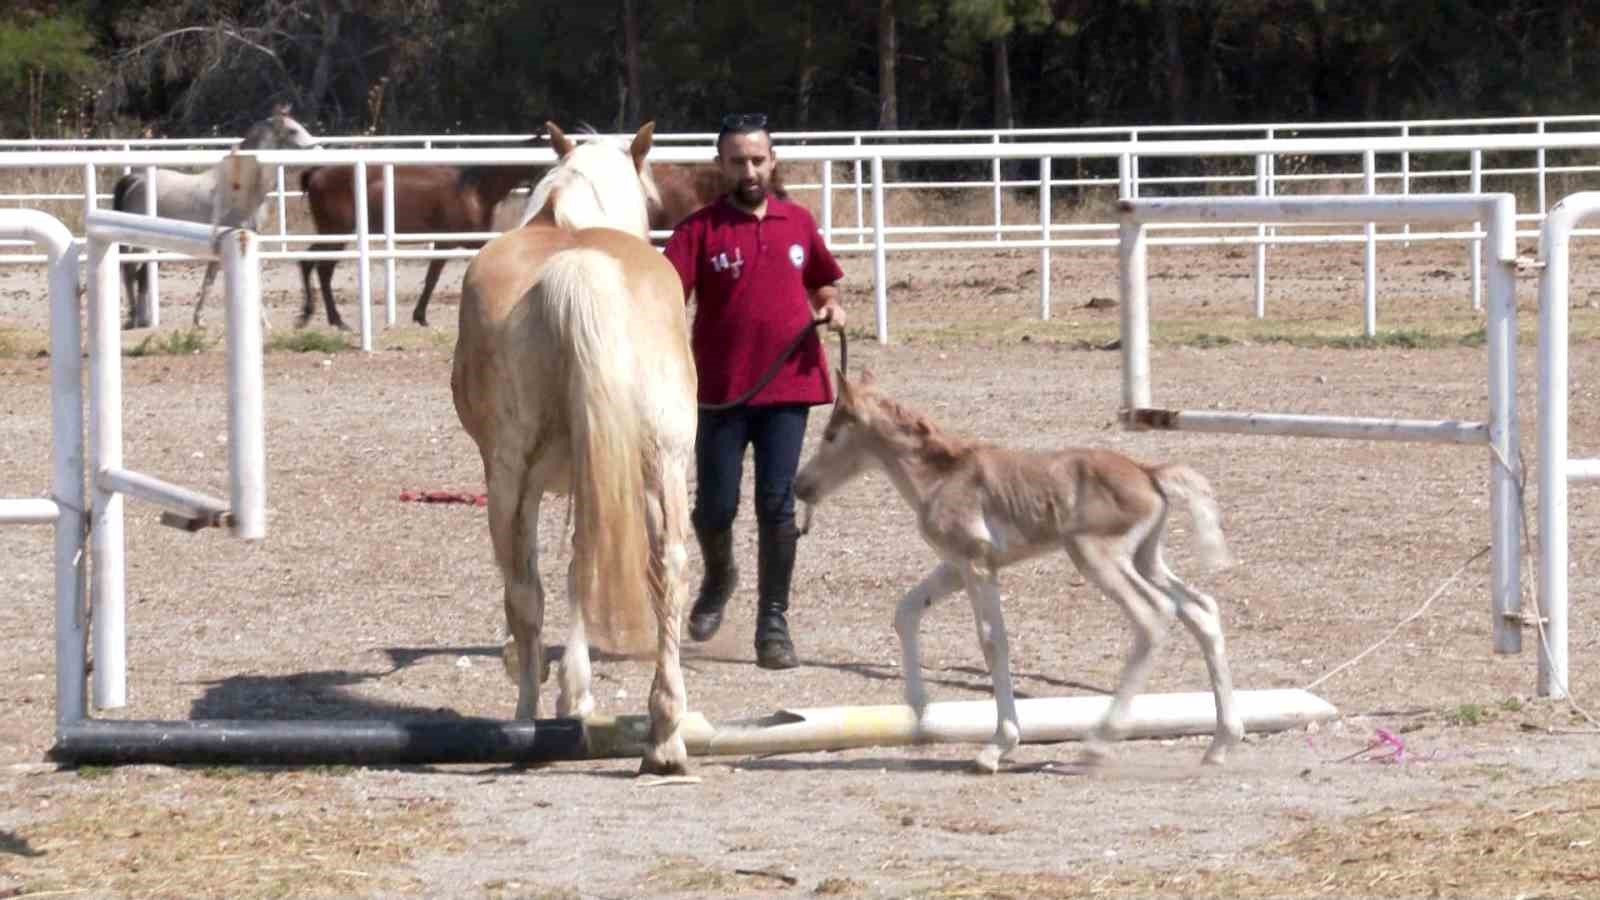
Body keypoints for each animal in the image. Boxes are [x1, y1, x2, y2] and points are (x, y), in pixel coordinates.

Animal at [110, 104, 318, 328]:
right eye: (293, 131)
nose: (319, 151)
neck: (240, 188)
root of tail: (135, 179)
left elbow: (211, 281)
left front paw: (199, 319)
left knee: (140, 275)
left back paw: (142, 319)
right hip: (139, 243)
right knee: (130, 271)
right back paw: (133, 318)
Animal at [299, 132, 544, 329]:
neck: (474, 192)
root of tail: (315, 173)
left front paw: (420, 316)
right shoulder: (450, 242)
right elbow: (432, 279)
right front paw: (420, 316)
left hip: (332, 233)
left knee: (308, 261)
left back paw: (310, 315)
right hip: (335, 233)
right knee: (322, 269)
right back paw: (335, 320)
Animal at [454, 122, 697, 775]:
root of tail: (577, 267)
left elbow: (552, 579)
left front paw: (565, 692)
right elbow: (586, 565)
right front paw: (579, 693)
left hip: (509, 479)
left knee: (524, 593)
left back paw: (523, 720)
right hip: (661, 463)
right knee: (669, 568)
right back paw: (666, 734)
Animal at [793, 369, 1241, 771]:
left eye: (831, 434)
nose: (801, 485)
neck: (942, 476)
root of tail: (1149, 474)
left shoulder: (976, 564)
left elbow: (993, 641)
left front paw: (997, 746)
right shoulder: (956, 565)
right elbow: (907, 611)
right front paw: (921, 711)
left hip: (1097, 555)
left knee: (1153, 616)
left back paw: (1099, 742)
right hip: (1146, 558)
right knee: (1201, 609)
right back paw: (1221, 743)